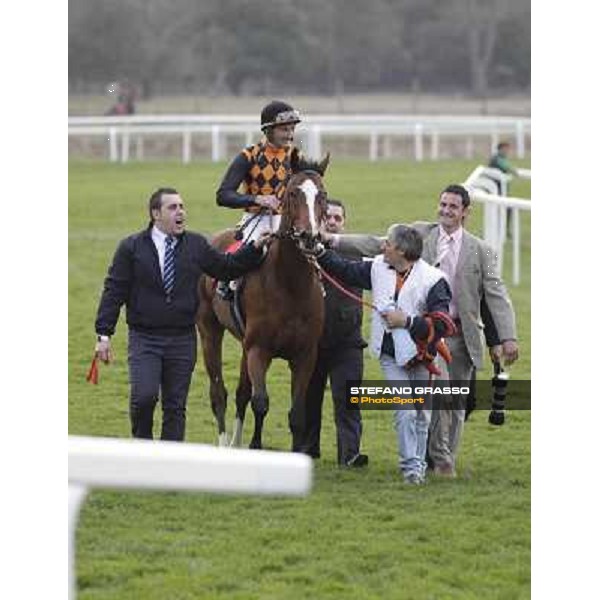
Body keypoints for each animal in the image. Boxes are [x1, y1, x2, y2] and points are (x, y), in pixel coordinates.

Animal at [196, 150, 328, 450]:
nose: (309, 237)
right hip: (210, 331)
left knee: (240, 392)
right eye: (292, 193)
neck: (291, 285)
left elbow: (296, 414)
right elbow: (260, 402)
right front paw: (256, 446)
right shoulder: (259, 349)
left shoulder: (305, 355)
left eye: (323, 195)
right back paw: (225, 443)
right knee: (219, 392)